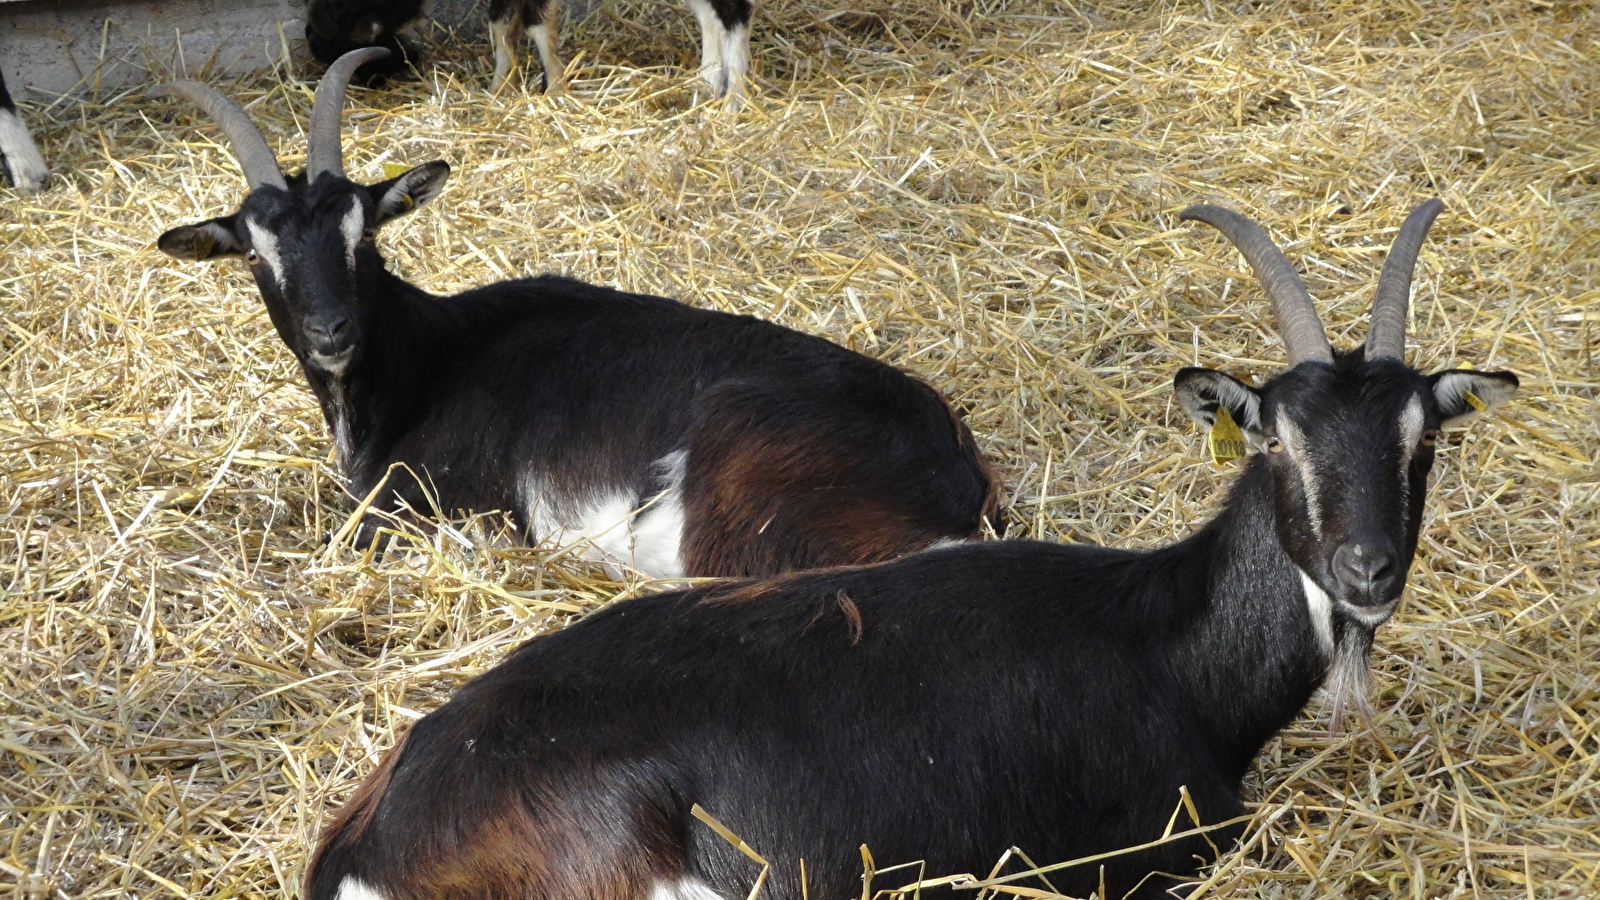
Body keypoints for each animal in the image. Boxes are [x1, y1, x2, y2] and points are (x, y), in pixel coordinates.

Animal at [150, 49, 998, 576]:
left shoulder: (425, 501)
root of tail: (957, 478)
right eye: (256, 255)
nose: (332, 331)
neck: (426, 359)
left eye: (364, 236)